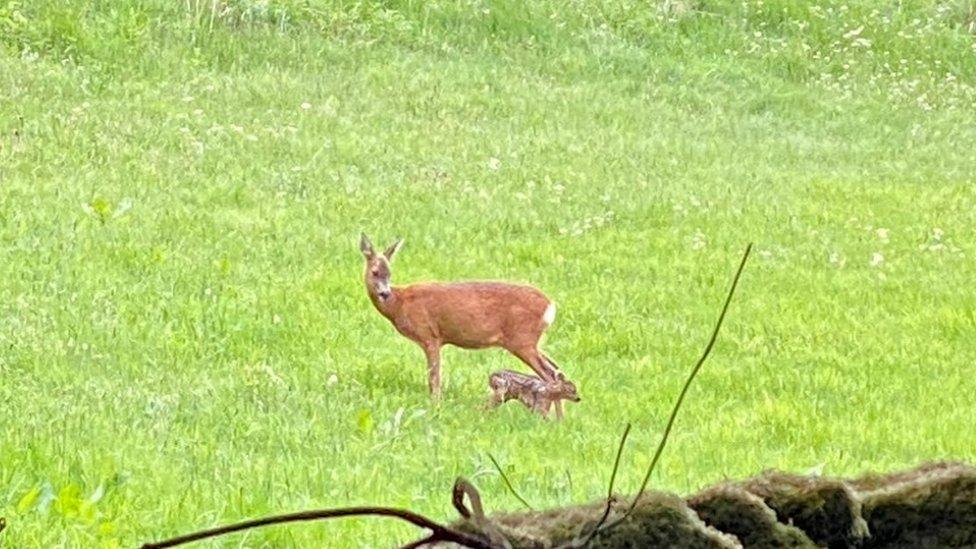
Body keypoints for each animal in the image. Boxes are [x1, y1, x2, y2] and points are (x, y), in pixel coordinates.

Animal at [360, 233, 572, 414]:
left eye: (389, 273)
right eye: (375, 272)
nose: (385, 293)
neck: (400, 303)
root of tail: (550, 305)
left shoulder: (429, 335)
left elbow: (433, 377)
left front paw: (435, 405)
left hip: (522, 340)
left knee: (550, 375)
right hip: (531, 342)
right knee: (556, 370)